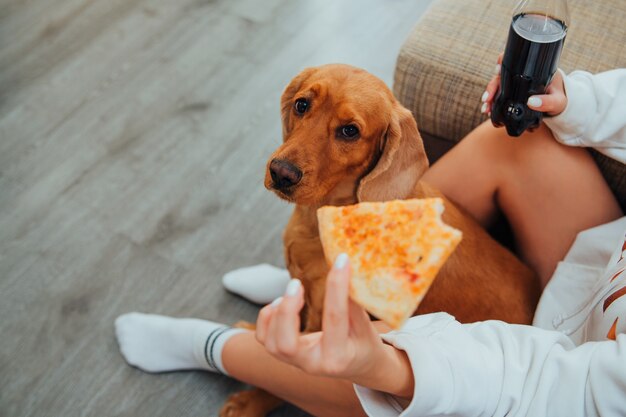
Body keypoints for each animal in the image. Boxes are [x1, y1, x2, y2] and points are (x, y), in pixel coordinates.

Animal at [218, 63, 536, 416]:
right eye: (302, 104)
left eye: (349, 131)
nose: (281, 172)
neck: (318, 218)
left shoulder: (322, 325)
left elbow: (285, 366)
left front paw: (251, 400)